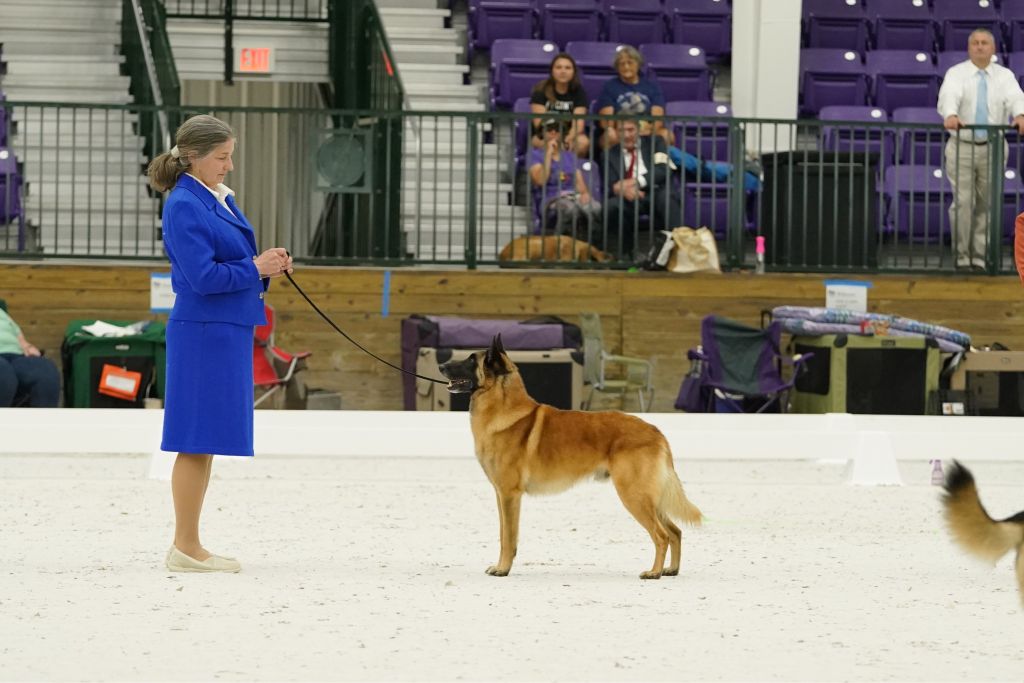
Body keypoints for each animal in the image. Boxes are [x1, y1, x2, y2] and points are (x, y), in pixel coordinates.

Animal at [436, 333, 700, 581]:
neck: (505, 409)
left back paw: (654, 572)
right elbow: (503, 533)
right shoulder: (502, 495)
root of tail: (656, 431)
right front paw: (502, 566)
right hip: (649, 498)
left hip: (634, 495)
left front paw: (503, 569)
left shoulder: (509, 495)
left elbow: (508, 537)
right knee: (675, 531)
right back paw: (671, 569)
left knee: (662, 535)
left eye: (471, 360)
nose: (441, 365)